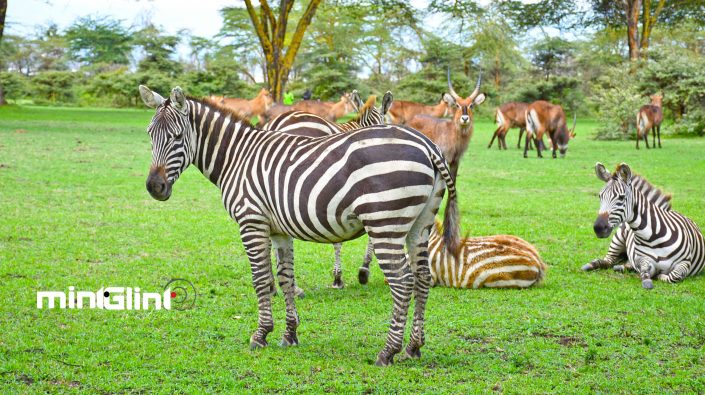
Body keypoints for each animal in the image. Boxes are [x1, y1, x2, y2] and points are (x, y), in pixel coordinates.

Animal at [584, 162, 704, 290]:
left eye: (621, 197)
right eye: (600, 196)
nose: (598, 228)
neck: (653, 236)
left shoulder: (685, 263)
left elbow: (675, 275)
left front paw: (660, 276)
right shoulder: (644, 260)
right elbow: (645, 272)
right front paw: (647, 278)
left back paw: (621, 267)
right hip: (618, 238)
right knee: (609, 260)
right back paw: (592, 265)